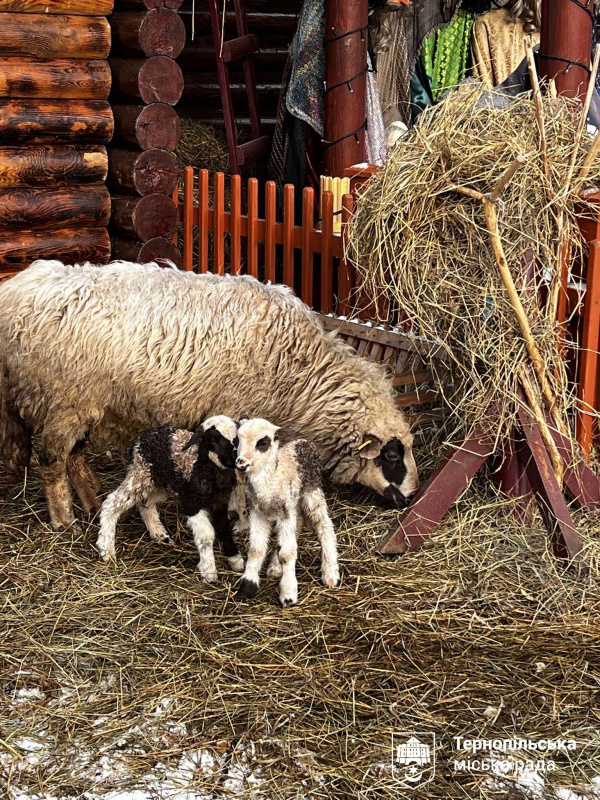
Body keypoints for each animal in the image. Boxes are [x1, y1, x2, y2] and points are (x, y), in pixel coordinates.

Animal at [97, 416, 243, 580]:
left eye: (237, 438)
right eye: (213, 440)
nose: (235, 457)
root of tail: (143, 437)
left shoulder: (220, 502)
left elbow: (224, 528)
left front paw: (235, 559)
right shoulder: (191, 502)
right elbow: (206, 535)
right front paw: (209, 571)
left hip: (160, 482)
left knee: (145, 503)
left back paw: (159, 534)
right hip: (141, 474)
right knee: (112, 503)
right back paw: (107, 550)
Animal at [233, 418, 340, 608]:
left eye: (263, 443)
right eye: (238, 439)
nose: (241, 463)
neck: (270, 480)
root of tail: (304, 442)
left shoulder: (285, 512)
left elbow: (287, 553)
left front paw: (288, 594)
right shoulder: (258, 512)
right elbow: (256, 550)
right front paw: (246, 588)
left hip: (311, 492)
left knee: (324, 526)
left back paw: (330, 573)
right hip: (294, 503)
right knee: (298, 526)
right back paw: (275, 568)